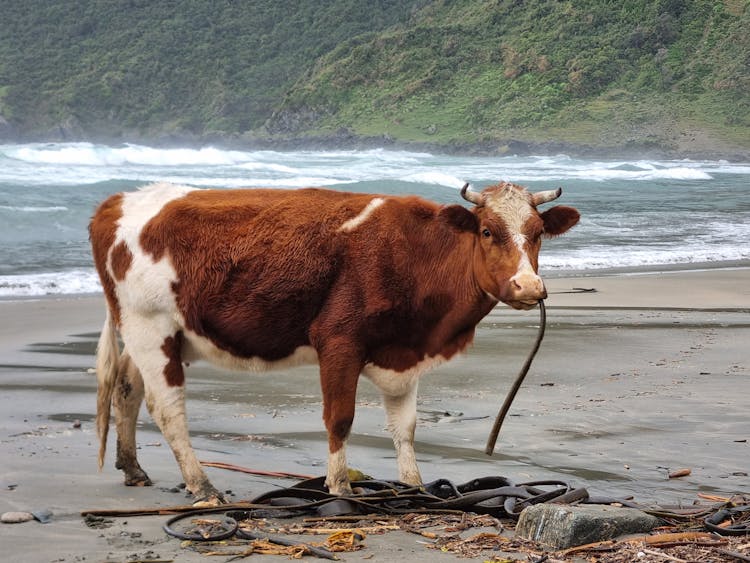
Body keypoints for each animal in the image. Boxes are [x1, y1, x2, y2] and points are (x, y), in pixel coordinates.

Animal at [89, 180, 580, 502]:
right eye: (487, 231)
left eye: (538, 233)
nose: (528, 287)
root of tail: (119, 201)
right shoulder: (339, 340)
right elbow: (340, 419)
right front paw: (341, 487)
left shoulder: (403, 351)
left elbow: (405, 426)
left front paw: (415, 486)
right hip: (150, 327)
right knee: (166, 408)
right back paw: (202, 485)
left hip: (160, 334)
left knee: (127, 389)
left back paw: (133, 469)